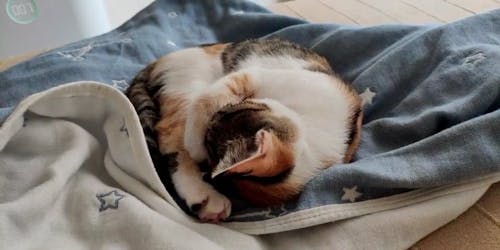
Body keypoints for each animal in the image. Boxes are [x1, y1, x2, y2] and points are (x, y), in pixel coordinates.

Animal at [124, 39, 360, 223]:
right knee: (170, 130)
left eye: (226, 113)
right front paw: (194, 143)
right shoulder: (257, 75)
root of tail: (158, 61)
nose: (224, 108)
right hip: (189, 82)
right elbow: (208, 97)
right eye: (236, 106)